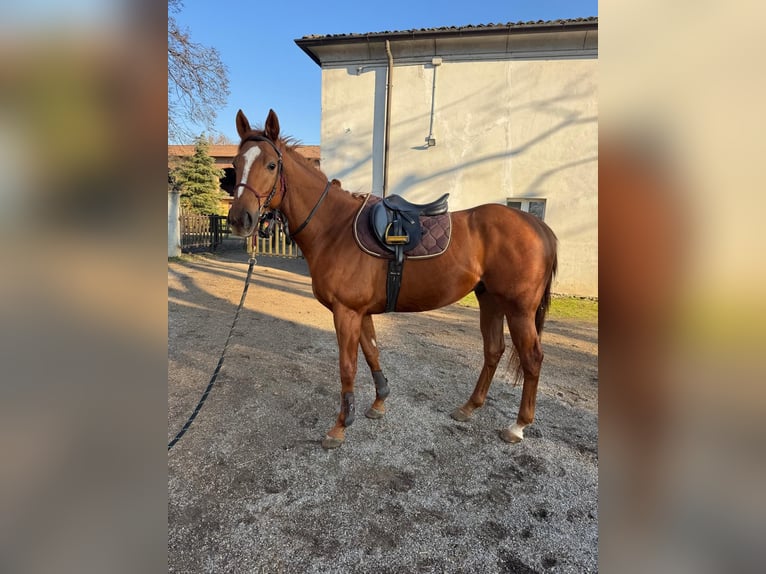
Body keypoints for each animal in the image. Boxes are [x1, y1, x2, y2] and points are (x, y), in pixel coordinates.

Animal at [226, 108, 560, 450]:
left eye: (271, 164)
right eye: (236, 164)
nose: (240, 219)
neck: (334, 227)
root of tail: (538, 225)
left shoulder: (347, 313)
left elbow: (347, 367)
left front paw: (340, 426)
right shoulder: (360, 313)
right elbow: (372, 353)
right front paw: (379, 403)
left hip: (519, 310)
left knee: (532, 359)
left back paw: (518, 426)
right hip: (490, 300)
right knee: (493, 350)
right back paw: (469, 407)